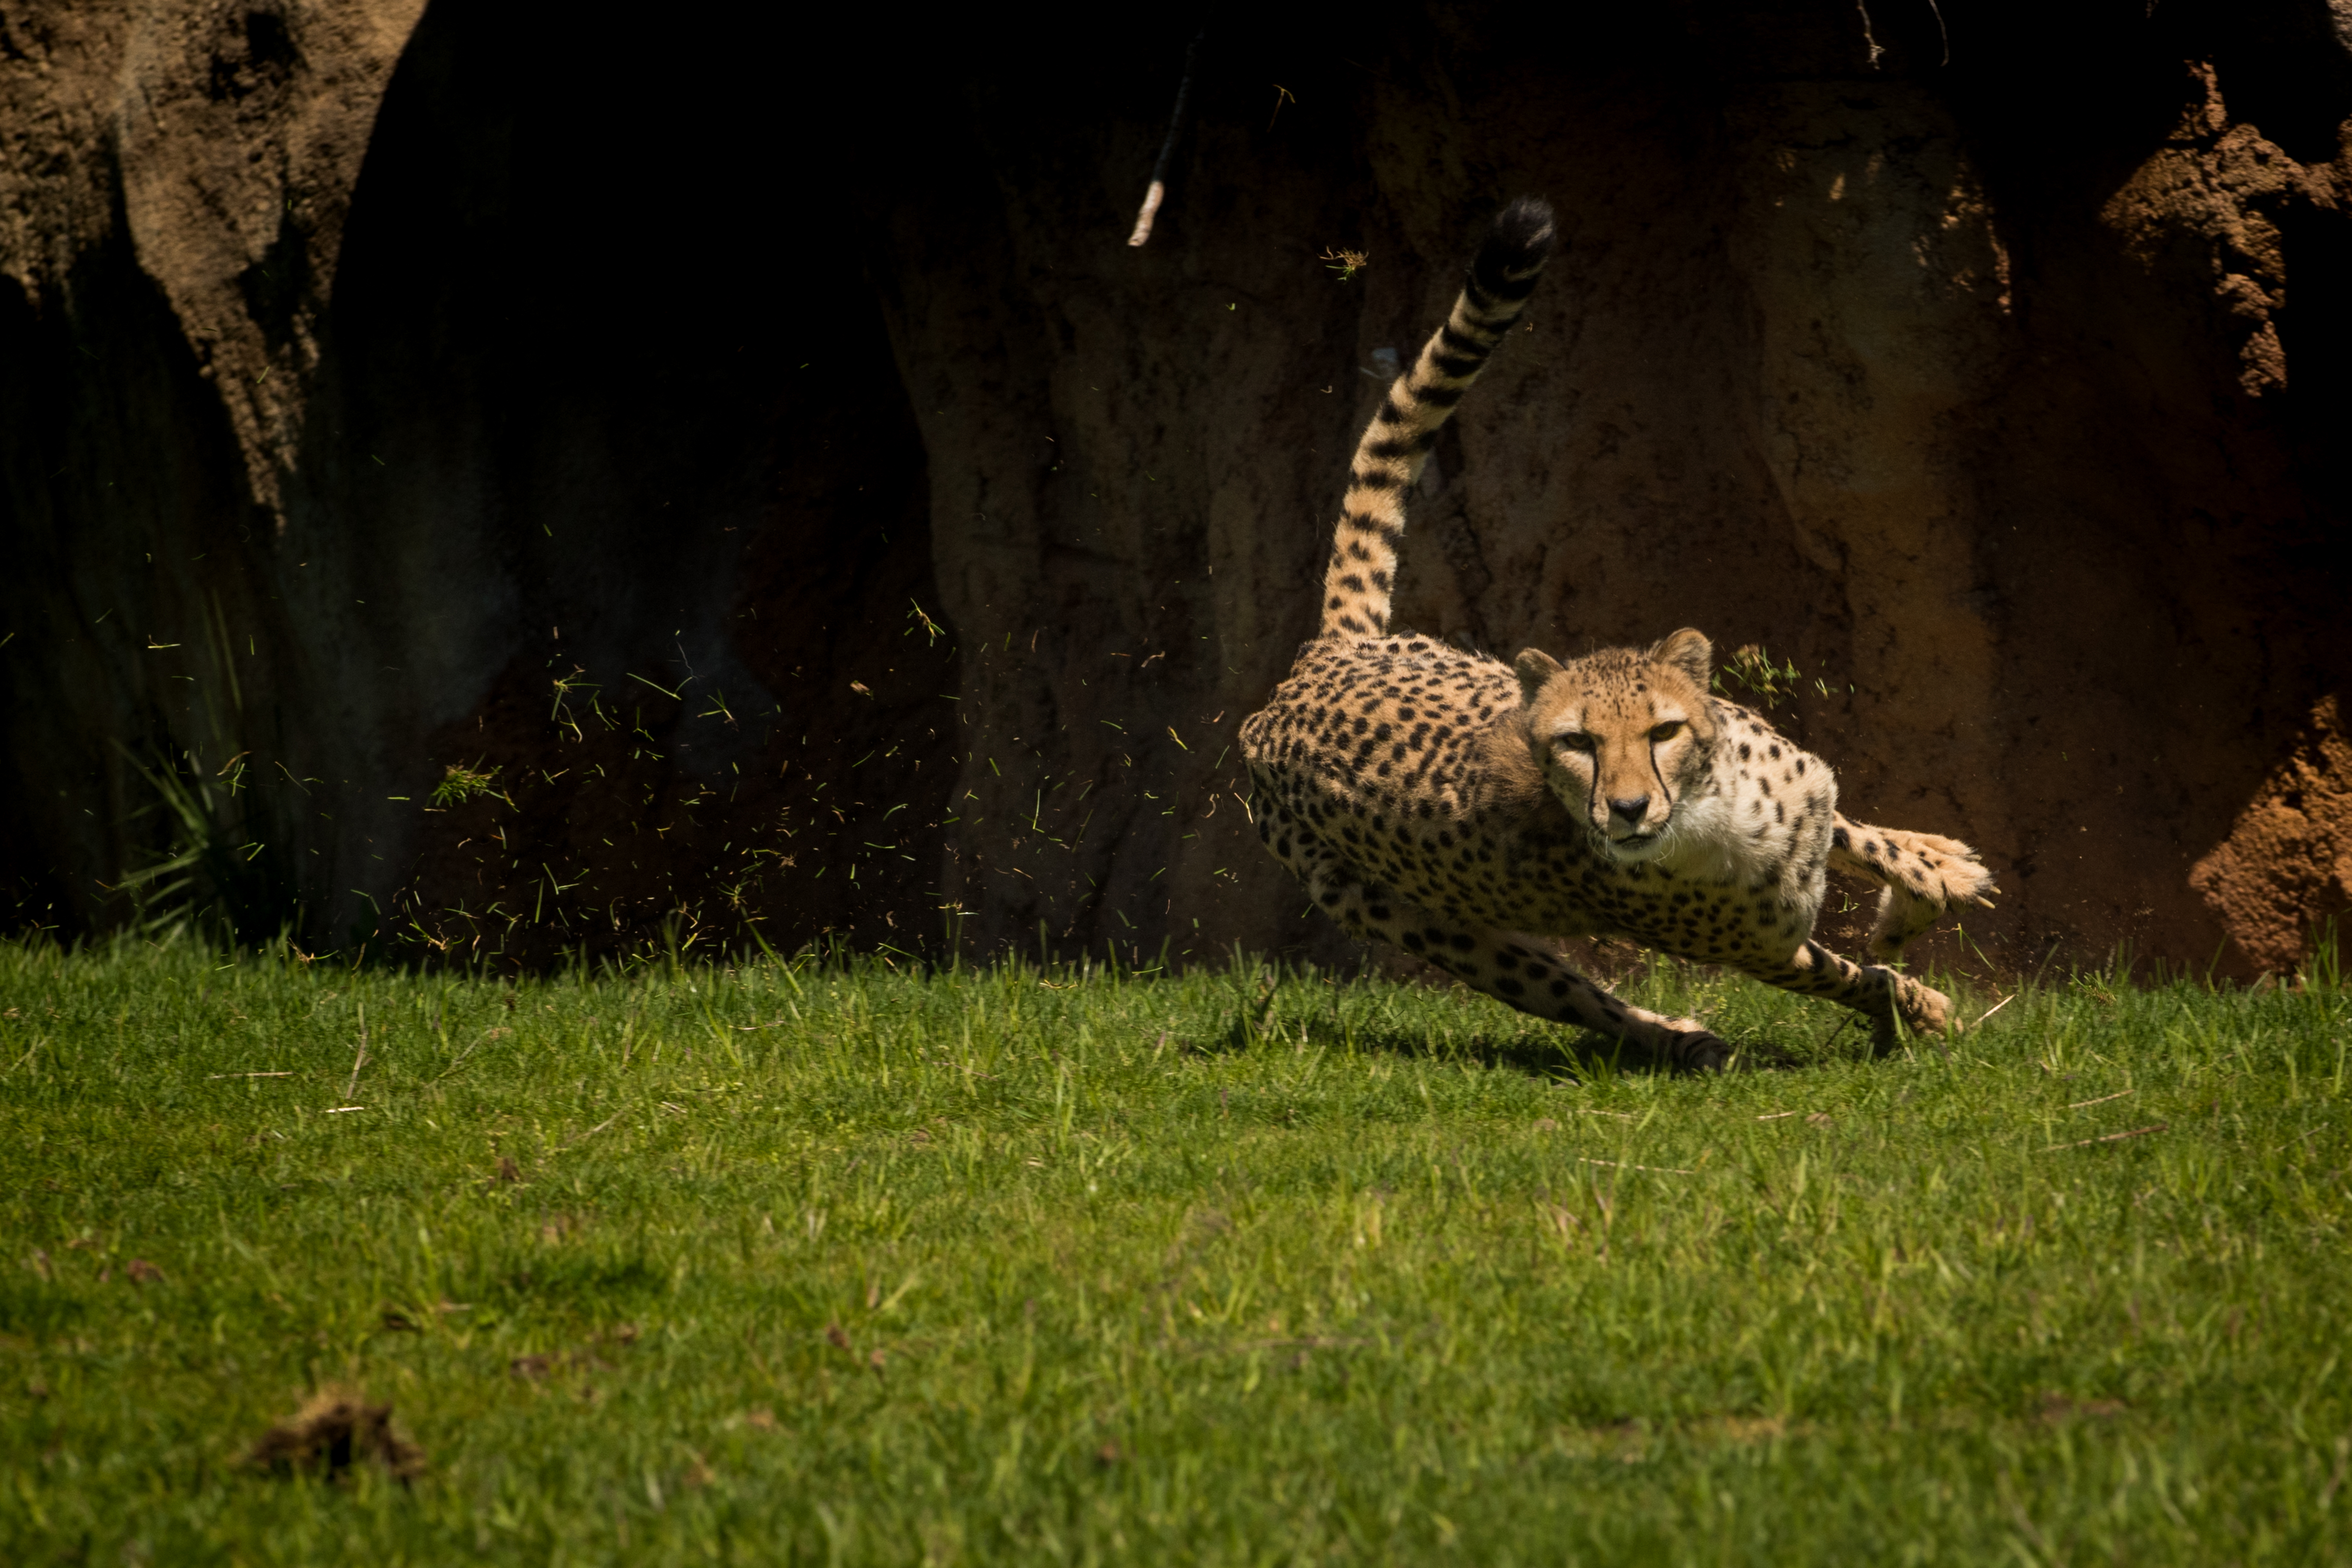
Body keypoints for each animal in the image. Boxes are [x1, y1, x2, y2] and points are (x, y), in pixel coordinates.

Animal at [1236, 196, 1998, 1071]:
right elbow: (1849, 975)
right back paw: (1682, 1040)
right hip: (1429, 928)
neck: (1712, 811)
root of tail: (1317, 666)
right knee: (1576, 996)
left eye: (1662, 730)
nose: (1628, 809)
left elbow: (1859, 838)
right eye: (1577, 743)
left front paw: (1930, 885)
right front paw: (1922, 1006)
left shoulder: (1797, 793)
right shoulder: (1764, 951)